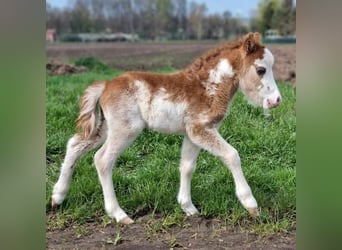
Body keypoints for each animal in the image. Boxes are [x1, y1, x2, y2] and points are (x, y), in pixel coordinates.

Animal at [50, 31, 280, 225]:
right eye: (261, 69)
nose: (276, 100)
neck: (208, 87)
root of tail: (106, 85)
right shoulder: (201, 130)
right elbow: (232, 155)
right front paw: (251, 205)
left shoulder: (192, 134)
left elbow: (187, 166)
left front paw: (188, 207)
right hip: (125, 130)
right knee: (102, 160)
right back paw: (119, 214)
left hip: (105, 127)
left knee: (75, 145)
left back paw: (57, 197)